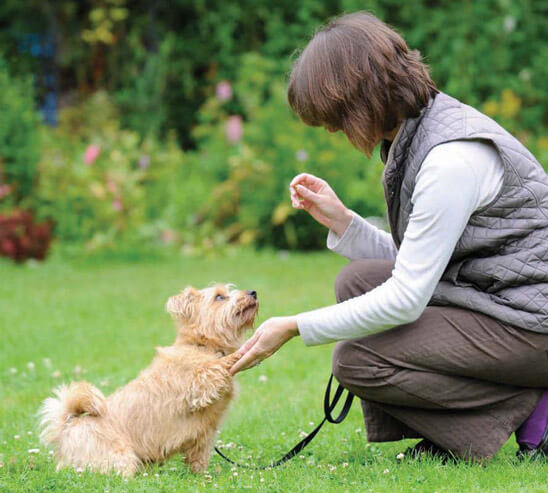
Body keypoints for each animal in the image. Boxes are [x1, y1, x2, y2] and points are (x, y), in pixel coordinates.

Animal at [39, 282, 258, 474]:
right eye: (219, 296)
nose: (253, 292)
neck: (202, 346)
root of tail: (67, 428)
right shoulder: (199, 383)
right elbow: (219, 366)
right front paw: (240, 353)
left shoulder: (205, 435)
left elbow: (199, 459)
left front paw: (201, 477)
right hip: (121, 457)